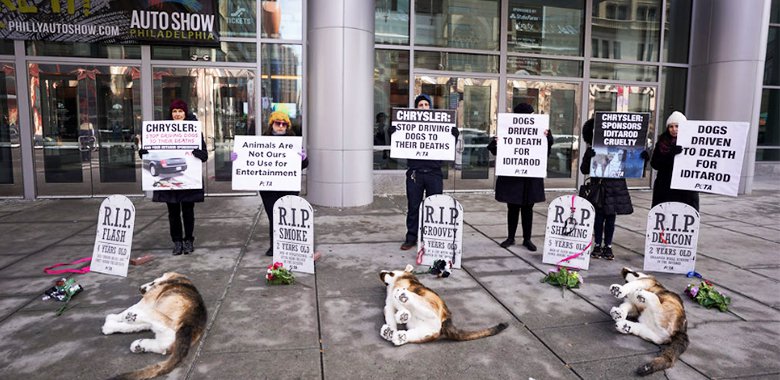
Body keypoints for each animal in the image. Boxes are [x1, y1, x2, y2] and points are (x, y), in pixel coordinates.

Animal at [376, 264, 506, 344]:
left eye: (390, 273)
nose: (380, 272)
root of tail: (446, 320)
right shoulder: (388, 307)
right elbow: (390, 318)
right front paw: (392, 329)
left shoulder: (400, 291)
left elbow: (399, 303)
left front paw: (402, 313)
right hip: (424, 332)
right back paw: (395, 334)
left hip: (428, 304)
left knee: (426, 310)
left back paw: (404, 301)